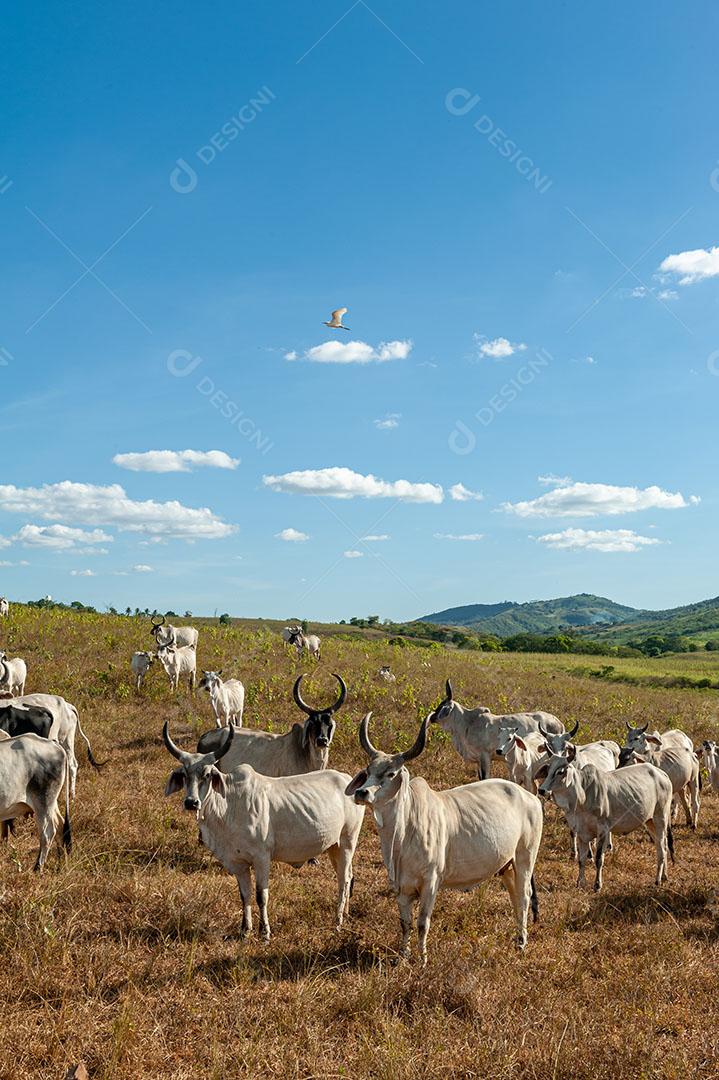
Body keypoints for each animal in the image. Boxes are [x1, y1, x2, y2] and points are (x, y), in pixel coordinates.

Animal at [0, 733, 72, 870]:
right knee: (60, 824)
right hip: (51, 803)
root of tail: (53, 744)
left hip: (43, 802)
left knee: (48, 833)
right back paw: (60, 864)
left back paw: (38, 867)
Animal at [163, 722, 364, 941]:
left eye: (207, 775)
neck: (230, 806)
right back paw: (345, 914)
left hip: (348, 842)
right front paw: (245, 929)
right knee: (347, 876)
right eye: (184, 775)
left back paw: (338, 922)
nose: (191, 802)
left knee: (343, 880)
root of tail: (346, 779)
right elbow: (245, 895)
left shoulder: (262, 858)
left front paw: (265, 932)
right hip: (333, 846)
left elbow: (261, 895)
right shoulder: (238, 863)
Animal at [345, 712, 543, 964]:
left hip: (525, 858)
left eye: (390, 773)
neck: (403, 832)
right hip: (506, 866)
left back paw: (522, 943)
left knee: (525, 896)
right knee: (515, 896)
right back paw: (518, 939)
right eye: (368, 771)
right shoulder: (401, 887)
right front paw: (403, 956)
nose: (362, 792)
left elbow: (422, 924)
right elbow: (405, 924)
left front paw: (422, 960)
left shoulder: (431, 882)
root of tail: (530, 797)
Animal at [431, 679, 565, 780]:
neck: (467, 722)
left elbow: (485, 777)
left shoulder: (485, 756)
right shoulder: (478, 759)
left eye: (441, 707)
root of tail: (559, 723)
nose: (432, 718)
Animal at [538, 747, 674, 892]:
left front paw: (597, 885)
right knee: (663, 845)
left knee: (662, 848)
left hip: (660, 818)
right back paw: (664, 876)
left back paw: (658, 880)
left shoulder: (603, 830)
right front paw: (580, 883)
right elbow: (581, 859)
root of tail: (662, 774)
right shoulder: (580, 831)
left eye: (560, 771)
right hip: (649, 822)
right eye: (548, 769)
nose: (541, 790)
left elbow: (598, 859)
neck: (583, 793)